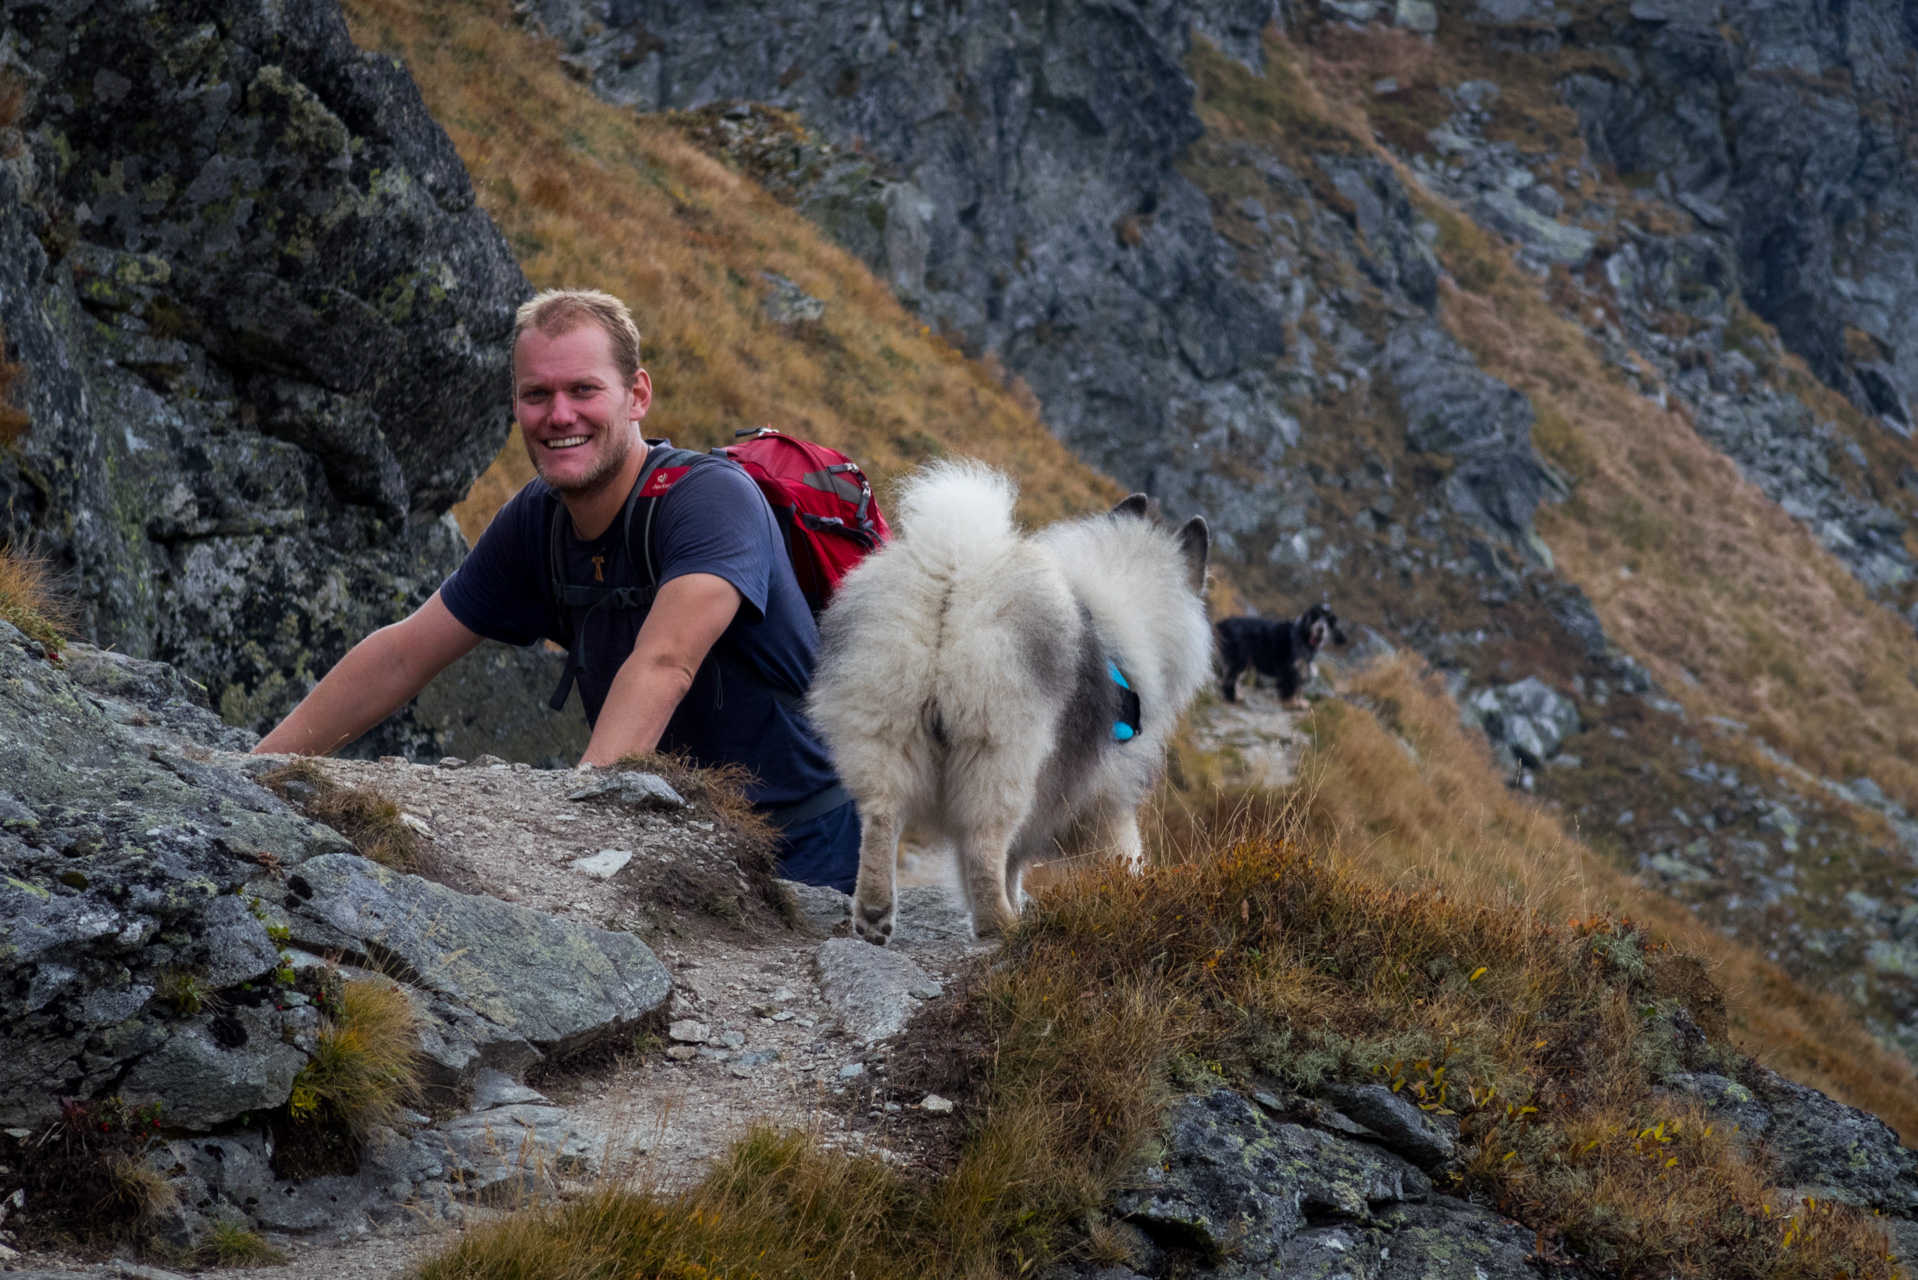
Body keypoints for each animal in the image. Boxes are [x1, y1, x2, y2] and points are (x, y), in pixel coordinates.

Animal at [801, 466, 1204, 948]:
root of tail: (955, 577)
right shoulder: (1105, 801)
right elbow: (1120, 858)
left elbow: (1013, 862)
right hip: (1000, 752)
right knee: (982, 842)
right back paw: (999, 926)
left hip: (885, 726)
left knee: (881, 815)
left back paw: (875, 914)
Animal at [1212, 606, 1350, 706]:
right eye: (1315, 617)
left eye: (1328, 620)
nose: (1320, 629)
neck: (1303, 637)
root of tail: (1221, 624)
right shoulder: (1290, 669)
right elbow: (1290, 688)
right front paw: (1291, 703)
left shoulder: (1301, 668)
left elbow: (1299, 688)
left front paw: (1301, 703)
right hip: (1239, 660)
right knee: (1230, 680)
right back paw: (1231, 698)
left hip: (1243, 662)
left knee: (1235, 679)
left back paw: (1237, 696)